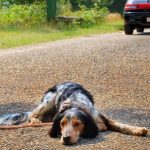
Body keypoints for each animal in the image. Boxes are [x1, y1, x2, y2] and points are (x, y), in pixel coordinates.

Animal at [0, 82, 148, 145]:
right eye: (62, 124)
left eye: (78, 124)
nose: (65, 138)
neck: (75, 105)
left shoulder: (100, 116)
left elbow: (120, 125)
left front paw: (138, 130)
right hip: (48, 100)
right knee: (31, 115)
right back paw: (35, 121)